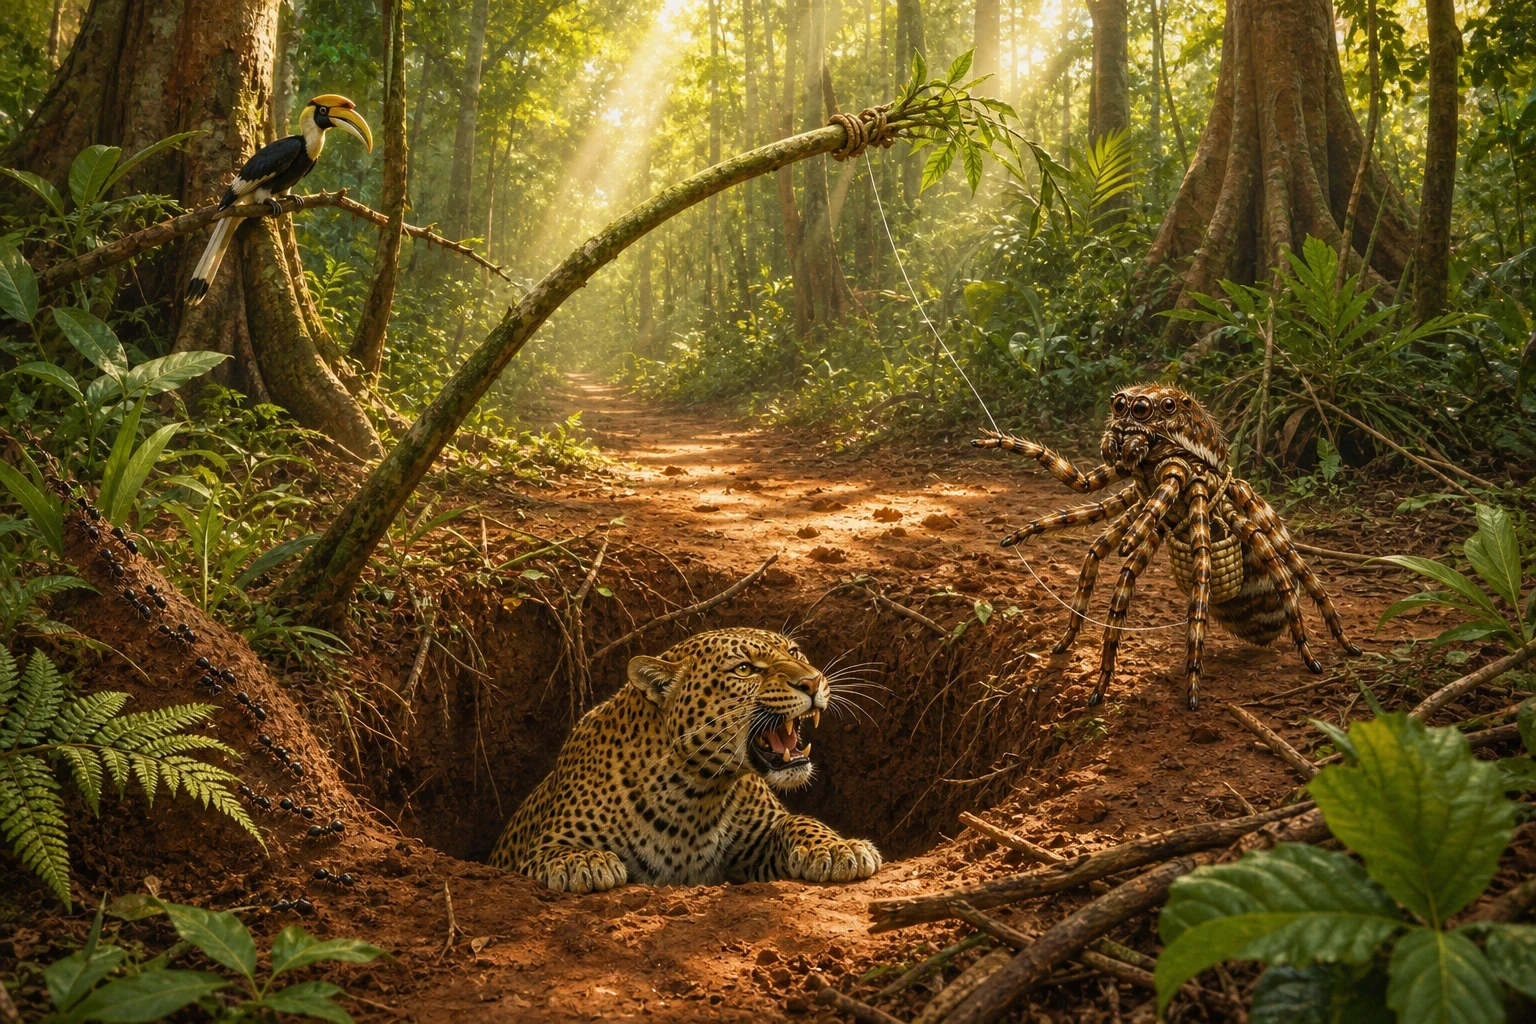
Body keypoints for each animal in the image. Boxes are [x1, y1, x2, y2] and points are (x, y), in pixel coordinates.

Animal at [487, 628, 883, 894]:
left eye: (795, 652)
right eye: (744, 670)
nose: (813, 681)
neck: (694, 797)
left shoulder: (759, 841)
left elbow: (799, 822)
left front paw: (838, 847)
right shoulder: (542, 844)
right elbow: (557, 851)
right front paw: (581, 860)